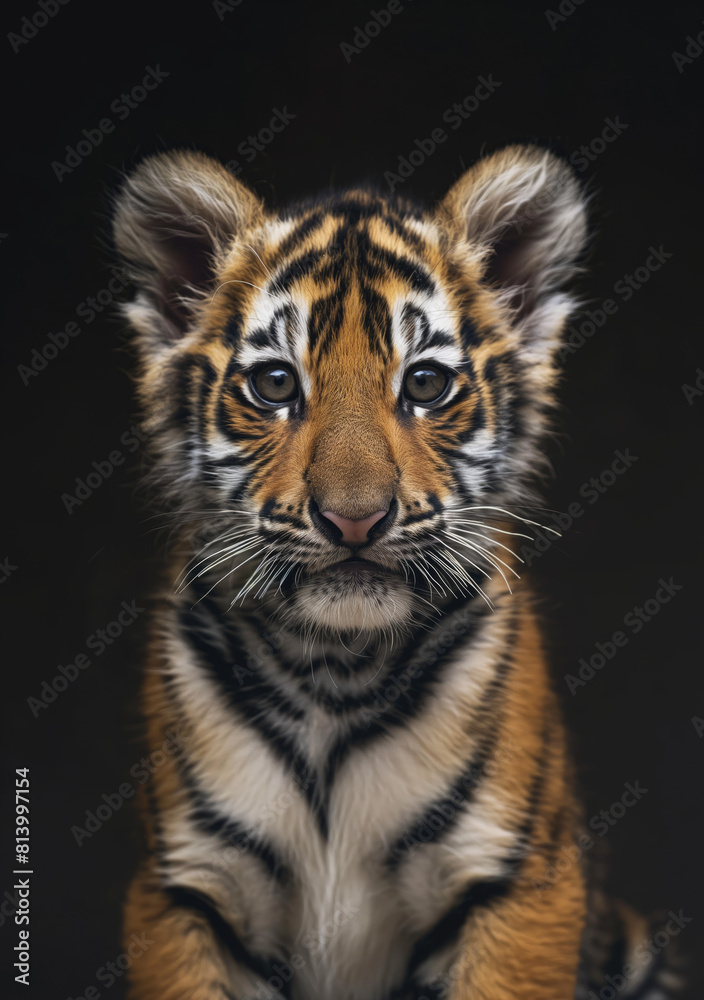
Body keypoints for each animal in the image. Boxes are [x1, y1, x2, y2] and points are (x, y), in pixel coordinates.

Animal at [111, 145, 683, 1000]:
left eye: (425, 384)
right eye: (275, 384)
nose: (355, 518)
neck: (333, 669)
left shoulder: (517, 881)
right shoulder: (183, 887)